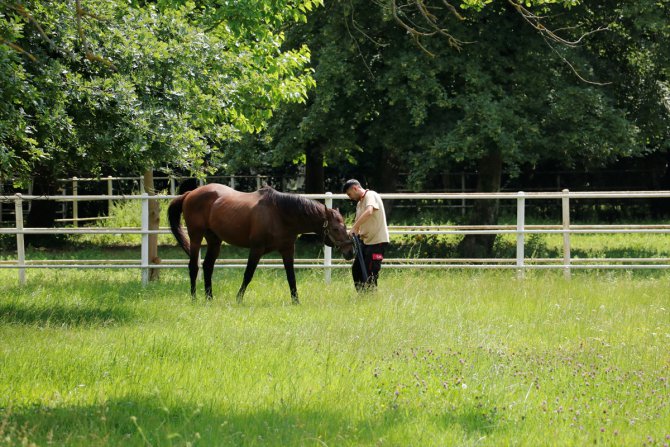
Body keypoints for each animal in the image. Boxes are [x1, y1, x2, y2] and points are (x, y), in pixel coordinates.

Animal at [169, 183, 356, 304]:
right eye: (336, 228)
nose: (350, 251)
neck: (280, 213)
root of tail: (190, 193)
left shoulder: (288, 249)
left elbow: (291, 276)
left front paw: (296, 301)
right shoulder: (257, 249)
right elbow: (248, 274)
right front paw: (239, 299)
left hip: (215, 240)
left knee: (208, 266)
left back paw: (209, 298)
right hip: (195, 237)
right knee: (193, 266)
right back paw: (194, 298)